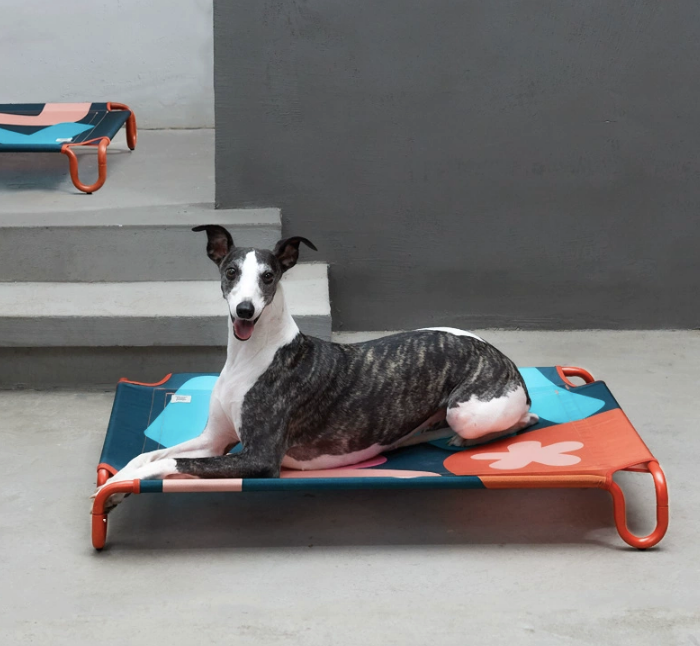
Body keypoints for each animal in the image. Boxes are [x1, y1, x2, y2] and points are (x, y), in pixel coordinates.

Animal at [95, 225, 537, 506]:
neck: (253, 356)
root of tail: (506, 360)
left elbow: (168, 461)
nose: (245, 310)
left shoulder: (259, 458)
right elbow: (149, 456)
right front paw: (116, 479)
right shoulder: (214, 441)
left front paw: (117, 485)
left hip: (468, 411)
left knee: (518, 422)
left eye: (269, 276)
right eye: (230, 272)